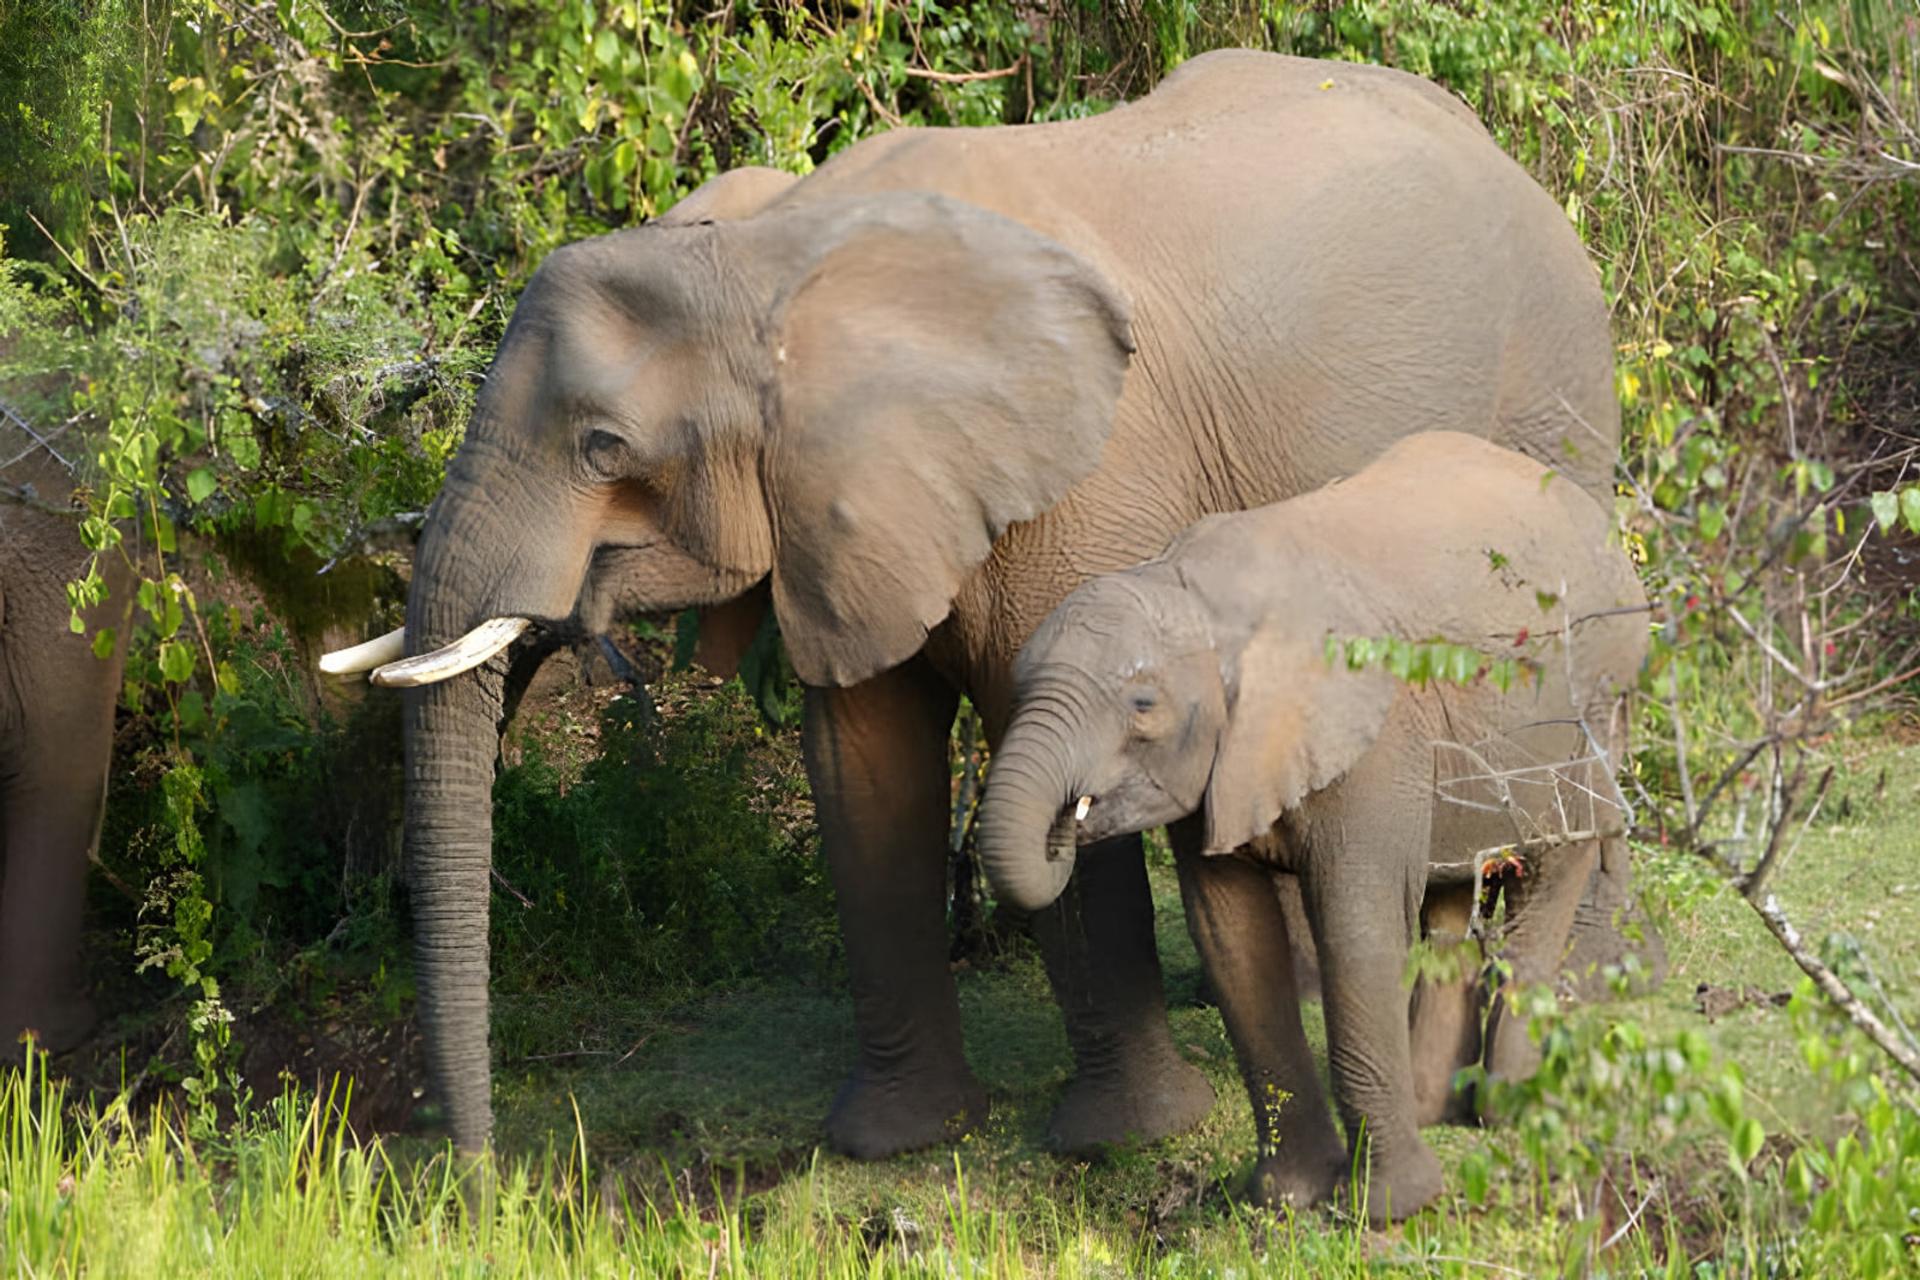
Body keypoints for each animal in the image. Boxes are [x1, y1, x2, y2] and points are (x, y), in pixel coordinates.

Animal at [318, 49, 1630, 1161]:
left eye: (603, 447)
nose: (474, 1176)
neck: (774, 257)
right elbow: (862, 765)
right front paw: (894, 1140)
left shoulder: (1086, 477)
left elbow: (1023, 729)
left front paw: (1121, 1138)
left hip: (1556, 396)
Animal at [976, 432, 1651, 1221]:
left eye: (1142, 705)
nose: (1067, 820)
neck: (1202, 595)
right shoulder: (1226, 767)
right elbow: (1232, 937)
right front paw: (1284, 1199)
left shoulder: (1373, 738)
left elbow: (1356, 925)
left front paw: (1388, 1209)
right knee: (1448, 900)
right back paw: (1434, 1110)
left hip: (1590, 706)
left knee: (1550, 871)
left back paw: (1505, 1110)